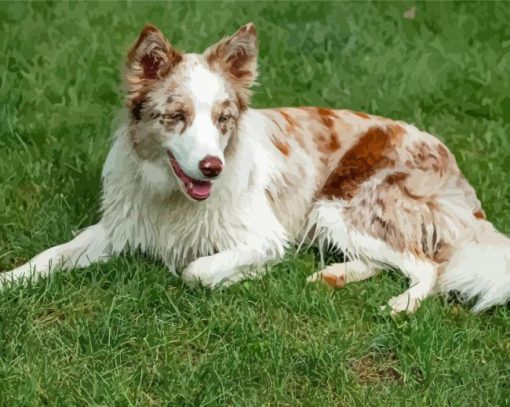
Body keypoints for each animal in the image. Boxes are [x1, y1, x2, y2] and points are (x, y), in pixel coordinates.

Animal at [3, 23, 510, 316]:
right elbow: (51, 255)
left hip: (341, 205)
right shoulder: (120, 227)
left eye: (223, 119)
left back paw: (401, 305)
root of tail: (449, 161)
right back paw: (332, 276)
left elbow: (196, 271)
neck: (171, 195)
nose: (212, 167)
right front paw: (10, 280)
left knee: (428, 266)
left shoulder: (265, 236)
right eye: (177, 116)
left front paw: (243, 276)